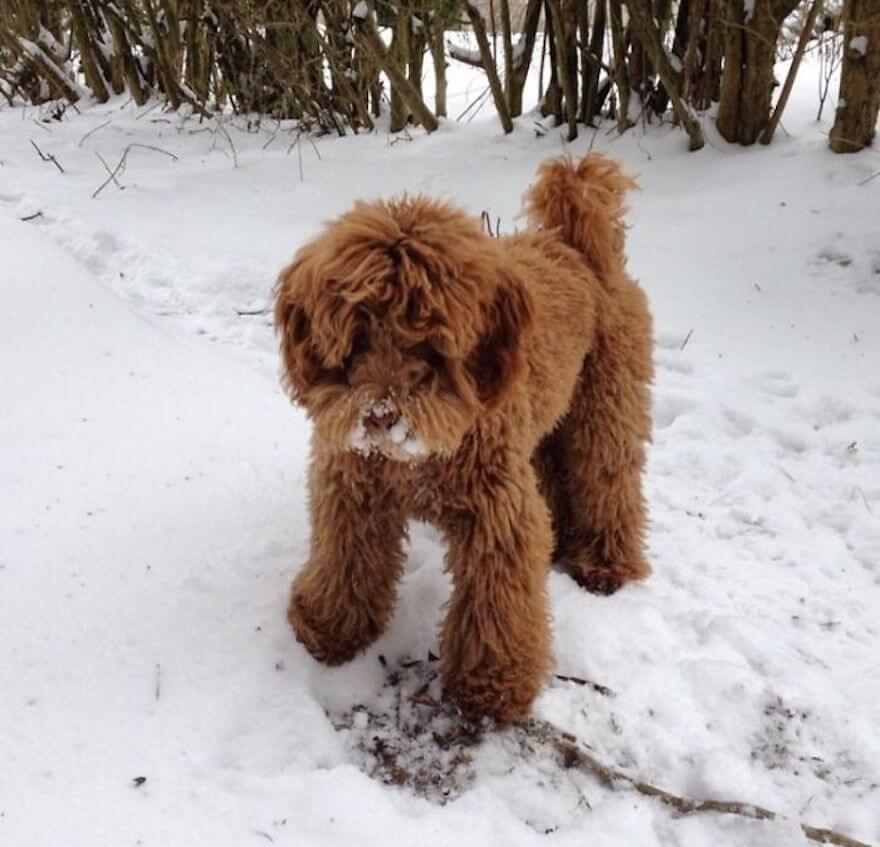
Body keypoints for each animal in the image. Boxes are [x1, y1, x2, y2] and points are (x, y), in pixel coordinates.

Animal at [276, 154, 652, 724]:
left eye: (428, 337)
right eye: (358, 331)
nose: (381, 417)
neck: (412, 459)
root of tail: (573, 244)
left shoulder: (495, 512)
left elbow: (495, 601)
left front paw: (492, 682)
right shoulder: (353, 491)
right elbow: (346, 559)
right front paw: (328, 625)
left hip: (605, 411)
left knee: (608, 480)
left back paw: (604, 562)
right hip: (547, 428)